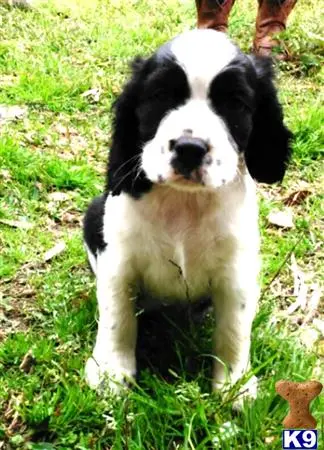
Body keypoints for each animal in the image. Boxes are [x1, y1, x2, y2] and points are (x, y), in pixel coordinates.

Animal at [83, 29, 292, 402]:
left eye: (235, 104)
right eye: (160, 96)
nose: (189, 149)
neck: (184, 202)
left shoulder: (237, 272)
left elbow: (234, 330)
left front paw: (234, 385)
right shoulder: (118, 262)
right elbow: (117, 316)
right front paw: (111, 372)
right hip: (95, 214)